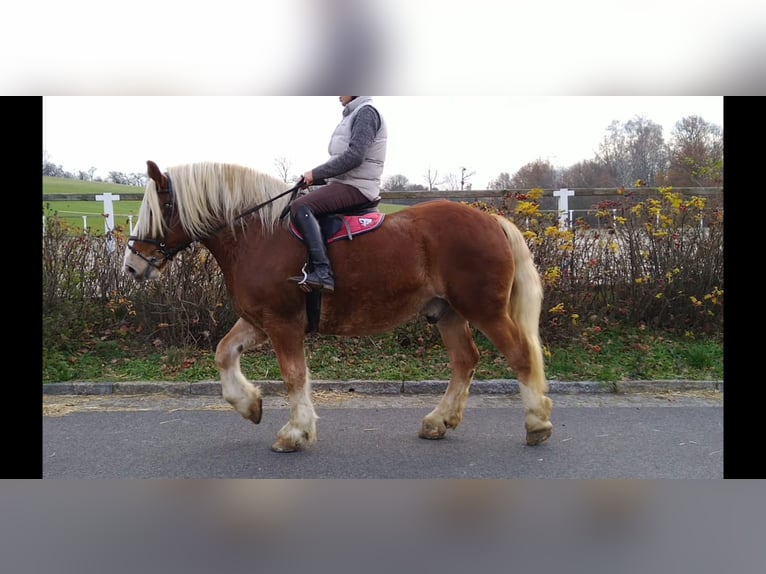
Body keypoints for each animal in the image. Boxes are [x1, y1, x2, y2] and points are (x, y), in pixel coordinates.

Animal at [123, 162, 552, 454]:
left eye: (159, 209)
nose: (132, 265)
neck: (258, 235)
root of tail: (493, 221)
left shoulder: (282, 324)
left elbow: (294, 376)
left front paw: (295, 433)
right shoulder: (258, 320)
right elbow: (224, 352)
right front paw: (250, 405)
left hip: (485, 310)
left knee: (520, 356)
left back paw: (537, 424)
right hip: (447, 312)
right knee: (466, 360)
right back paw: (438, 421)